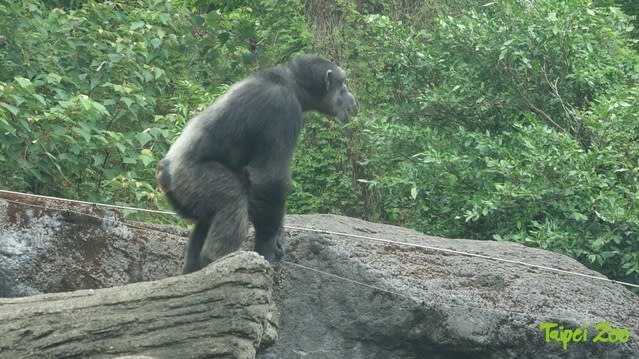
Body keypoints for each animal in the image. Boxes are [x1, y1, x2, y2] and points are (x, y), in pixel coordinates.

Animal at [154, 54, 356, 274]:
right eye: (343, 83)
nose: (351, 96)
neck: (292, 84)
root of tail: (162, 173)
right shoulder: (282, 109)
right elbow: (269, 178)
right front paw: (267, 243)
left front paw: (278, 236)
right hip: (190, 179)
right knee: (233, 199)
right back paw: (219, 260)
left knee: (207, 219)